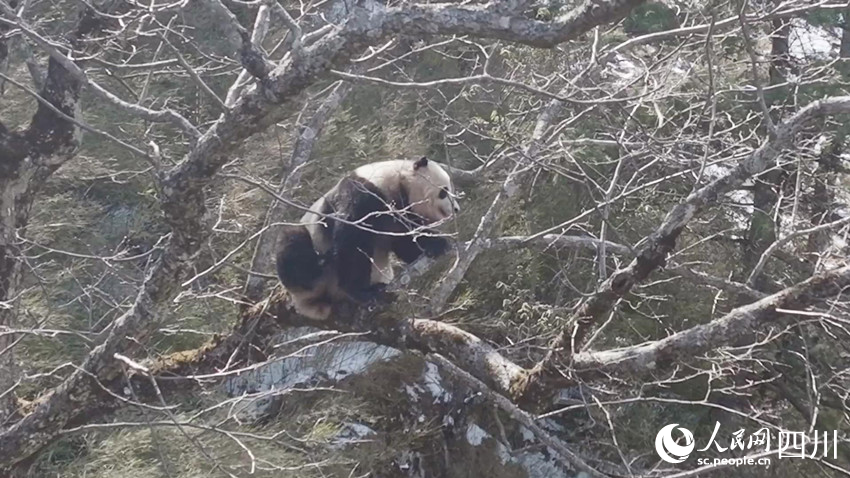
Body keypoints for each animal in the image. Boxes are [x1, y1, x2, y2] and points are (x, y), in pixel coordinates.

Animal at [274, 158, 458, 322]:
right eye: (444, 191)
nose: (456, 208)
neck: (398, 182)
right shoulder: (364, 192)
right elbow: (352, 239)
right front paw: (362, 292)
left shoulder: (399, 214)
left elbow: (405, 241)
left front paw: (436, 244)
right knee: (293, 245)